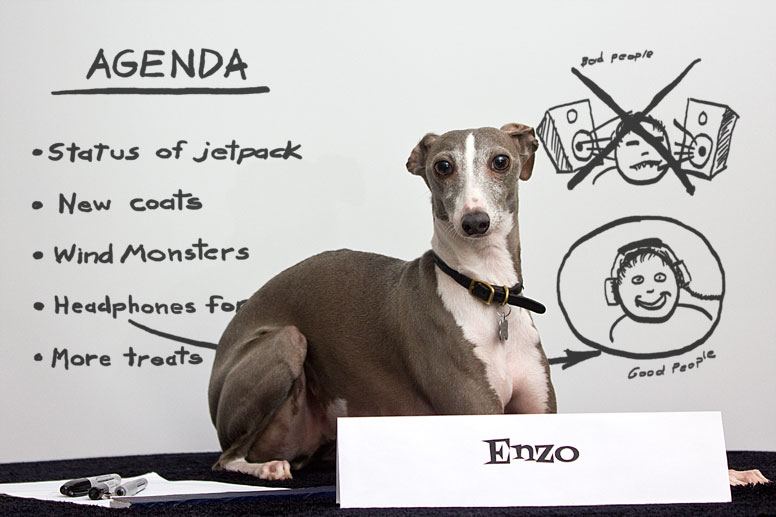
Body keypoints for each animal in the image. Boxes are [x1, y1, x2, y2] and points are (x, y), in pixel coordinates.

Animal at [208, 123, 556, 478]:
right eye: (443, 166)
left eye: (501, 161)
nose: (474, 222)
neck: (488, 291)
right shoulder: (477, 410)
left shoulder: (541, 412)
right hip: (287, 341)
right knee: (226, 458)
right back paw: (266, 467)